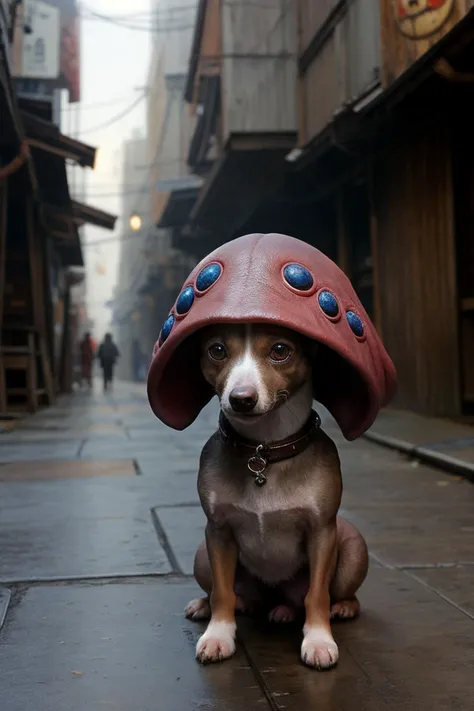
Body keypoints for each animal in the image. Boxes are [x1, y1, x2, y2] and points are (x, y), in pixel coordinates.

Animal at [183, 326, 368, 672]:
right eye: (217, 350)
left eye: (280, 350)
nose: (242, 399)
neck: (264, 452)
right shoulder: (218, 531)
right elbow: (222, 593)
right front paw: (218, 635)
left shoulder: (322, 532)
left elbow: (317, 594)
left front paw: (319, 640)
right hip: (202, 556)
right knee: (229, 593)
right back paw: (216, 605)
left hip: (353, 550)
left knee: (330, 595)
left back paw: (338, 608)